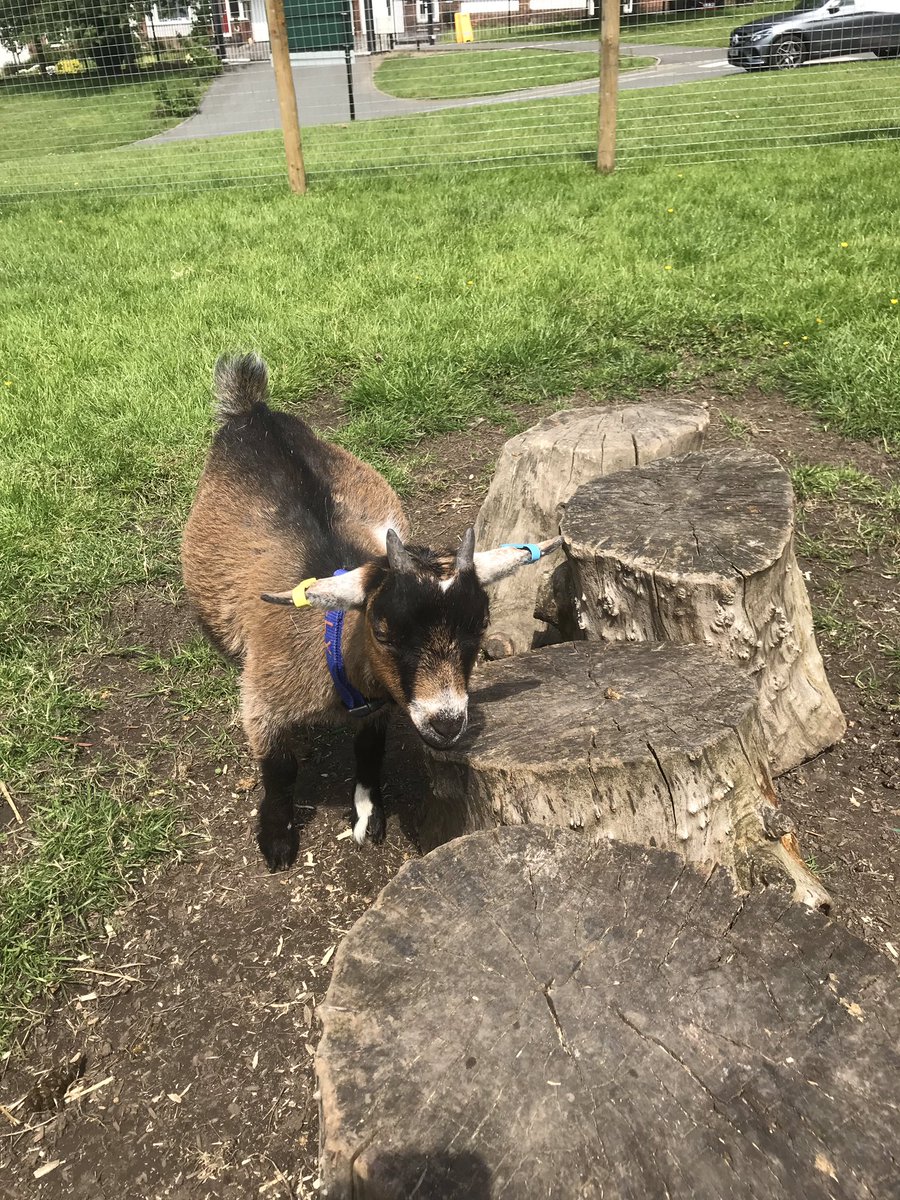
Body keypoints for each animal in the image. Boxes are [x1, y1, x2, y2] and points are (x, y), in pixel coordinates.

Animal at [182, 355, 559, 871]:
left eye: (480, 626)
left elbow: (370, 750)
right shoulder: (265, 699)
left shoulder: (380, 704)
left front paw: (367, 814)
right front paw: (276, 839)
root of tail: (253, 412)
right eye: (382, 631)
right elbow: (279, 768)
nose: (446, 722)